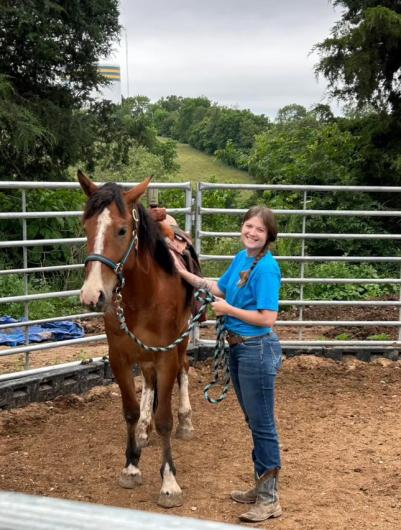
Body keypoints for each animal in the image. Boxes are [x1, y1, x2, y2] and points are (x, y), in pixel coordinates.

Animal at [77, 171, 194, 506]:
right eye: (86, 227)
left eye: (121, 230)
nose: (93, 295)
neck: (144, 294)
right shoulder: (119, 355)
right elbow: (129, 410)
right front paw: (131, 466)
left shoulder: (166, 354)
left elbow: (165, 417)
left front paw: (169, 482)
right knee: (150, 382)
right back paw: (144, 428)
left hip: (180, 344)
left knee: (183, 370)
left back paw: (186, 421)